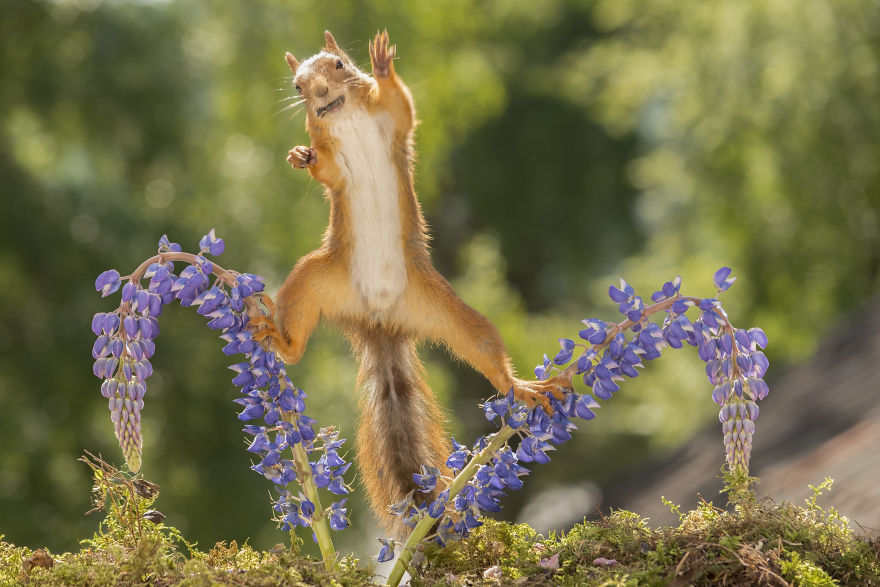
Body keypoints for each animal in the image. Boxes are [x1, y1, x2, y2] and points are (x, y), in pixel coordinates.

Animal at [250, 30, 572, 535]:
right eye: (297, 85)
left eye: (339, 64)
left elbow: (402, 104)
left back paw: (521, 387)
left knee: (484, 348)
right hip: (312, 280)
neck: (348, 117)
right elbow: (328, 172)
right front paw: (300, 157)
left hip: (445, 307)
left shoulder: (393, 124)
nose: (318, 92)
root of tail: (380, 318)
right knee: (297, 341)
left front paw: (383, 64)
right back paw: (281, 340)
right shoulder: (333, 160)